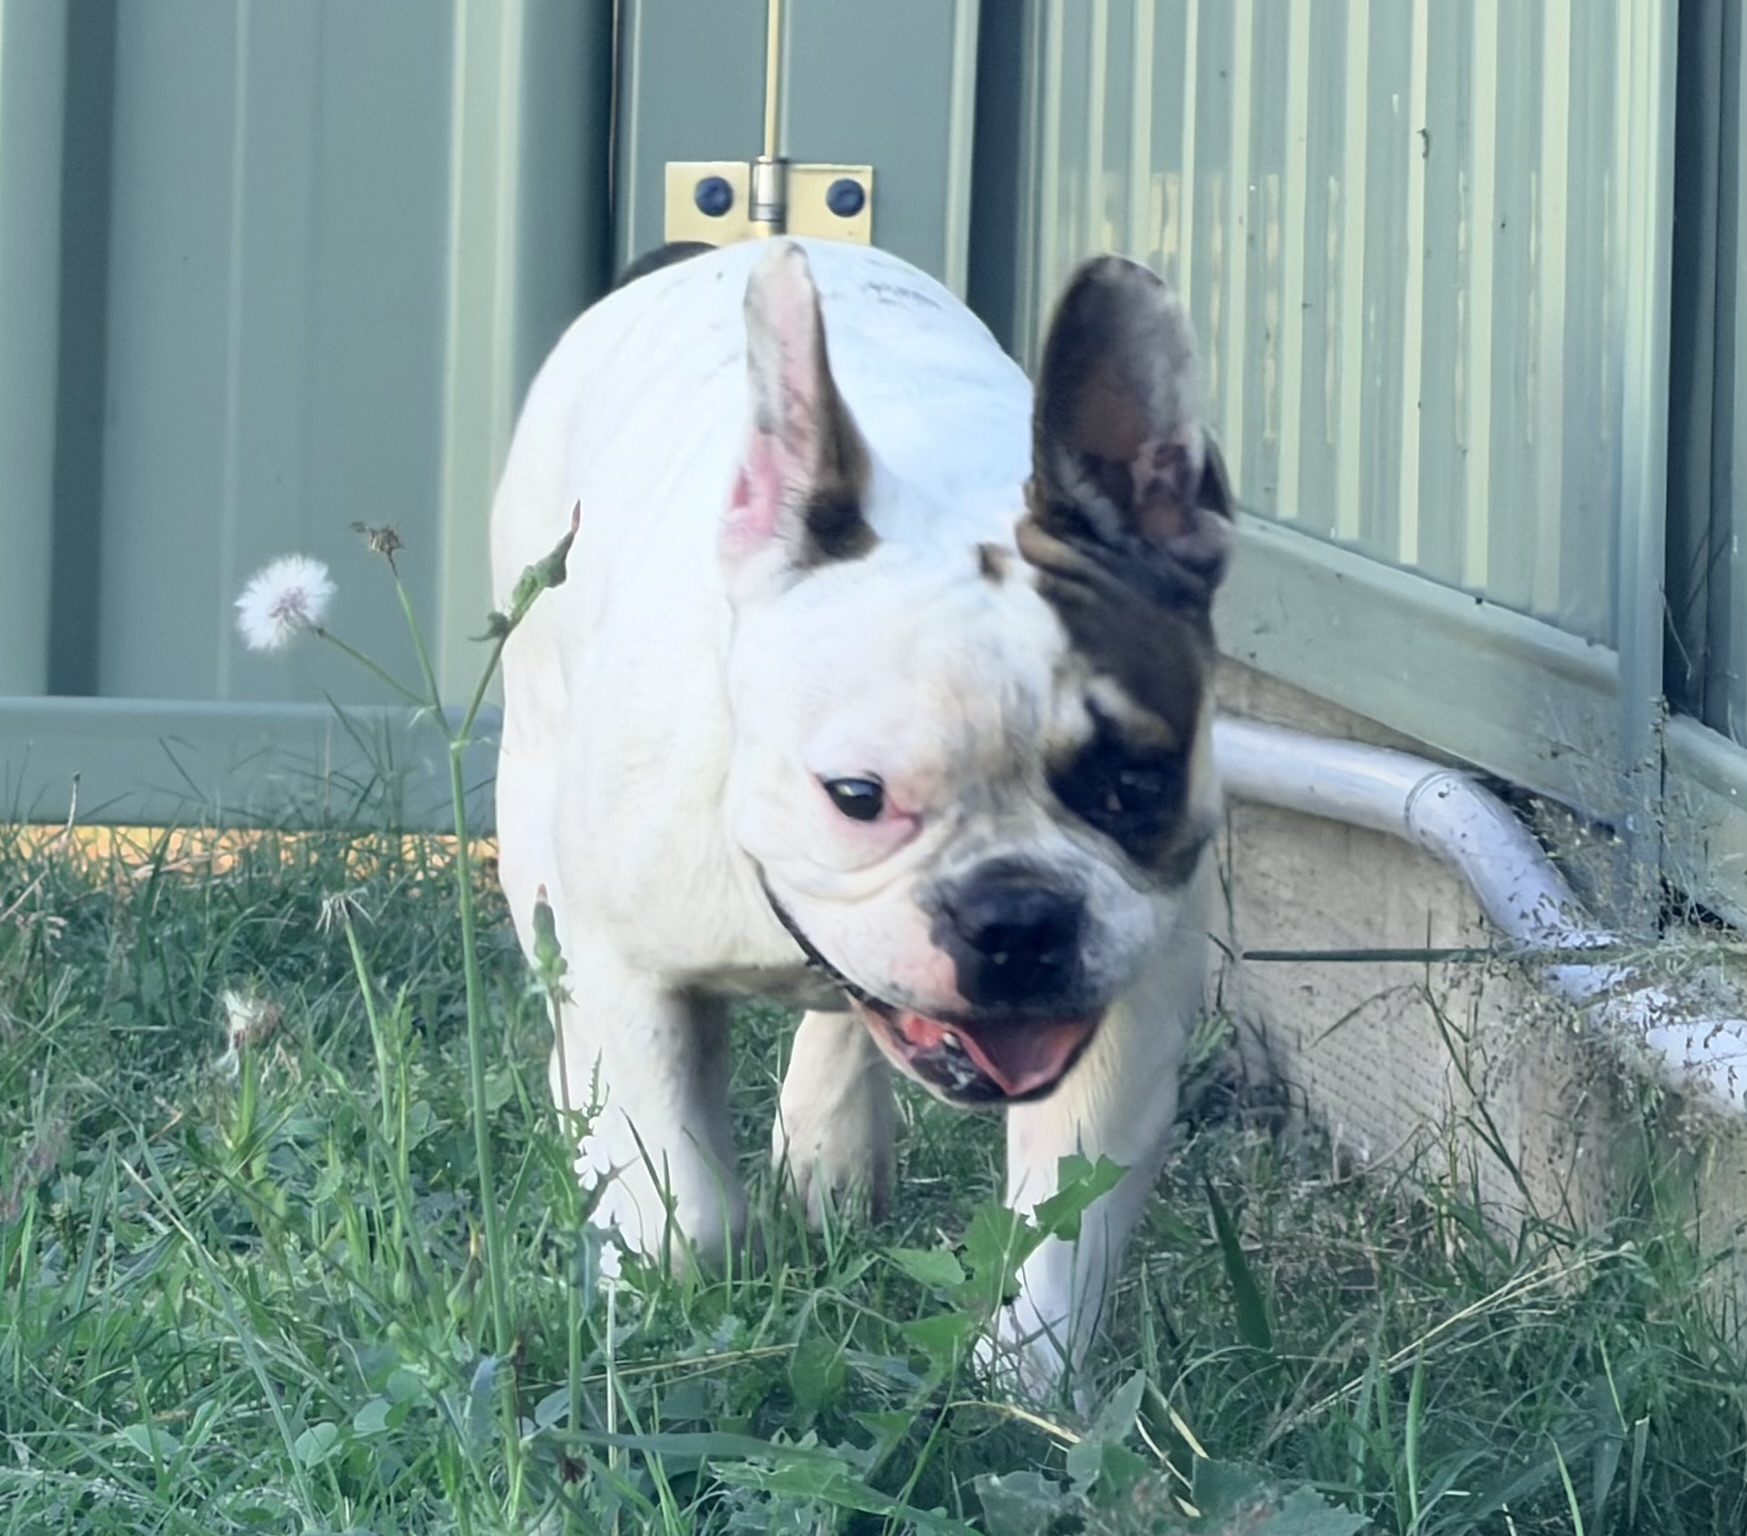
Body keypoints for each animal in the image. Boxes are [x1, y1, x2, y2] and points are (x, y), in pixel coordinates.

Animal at [491, 236, 1232, 1392]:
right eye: (857, 798)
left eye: (1134, 785)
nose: (1016, 917)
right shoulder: (633, 972)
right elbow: (682, 1202)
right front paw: (658, 1301)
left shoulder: (1127, 1023)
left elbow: (1062, 1228)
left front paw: (1021, 1386)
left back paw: (829, 1155)